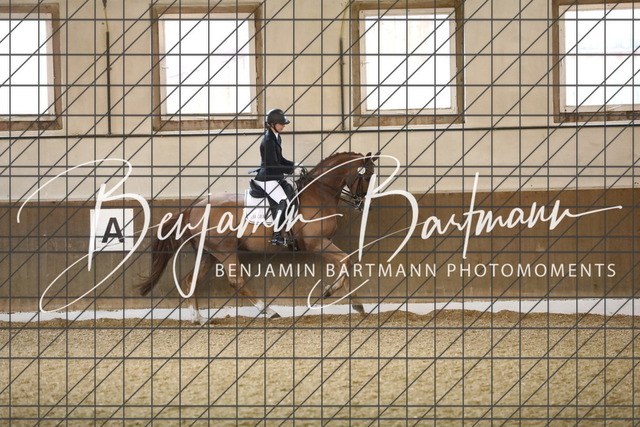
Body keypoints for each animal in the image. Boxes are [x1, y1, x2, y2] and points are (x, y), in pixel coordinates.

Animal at [135, 151, 379, 324]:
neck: (319, 193)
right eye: (366, 176)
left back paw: (199, 319)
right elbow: (346, 261)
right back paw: (269, 311)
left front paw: (356, 305)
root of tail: (192, 208)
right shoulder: (317, 243)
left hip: (209, 253)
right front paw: (333, 293)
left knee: (190, 280)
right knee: (236, 281)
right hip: (225, 251)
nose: (361, 203)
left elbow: (346, 264)